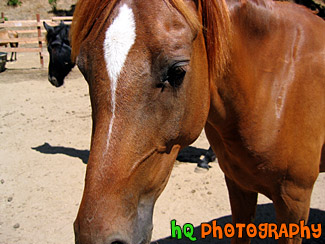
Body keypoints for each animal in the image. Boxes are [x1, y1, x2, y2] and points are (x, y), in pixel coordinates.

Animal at [69, 0, 322, 243]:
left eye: (177, 71)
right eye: (83, 69)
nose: (94, 235)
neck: (277, 81)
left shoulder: (294, 200)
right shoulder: (238, 185)